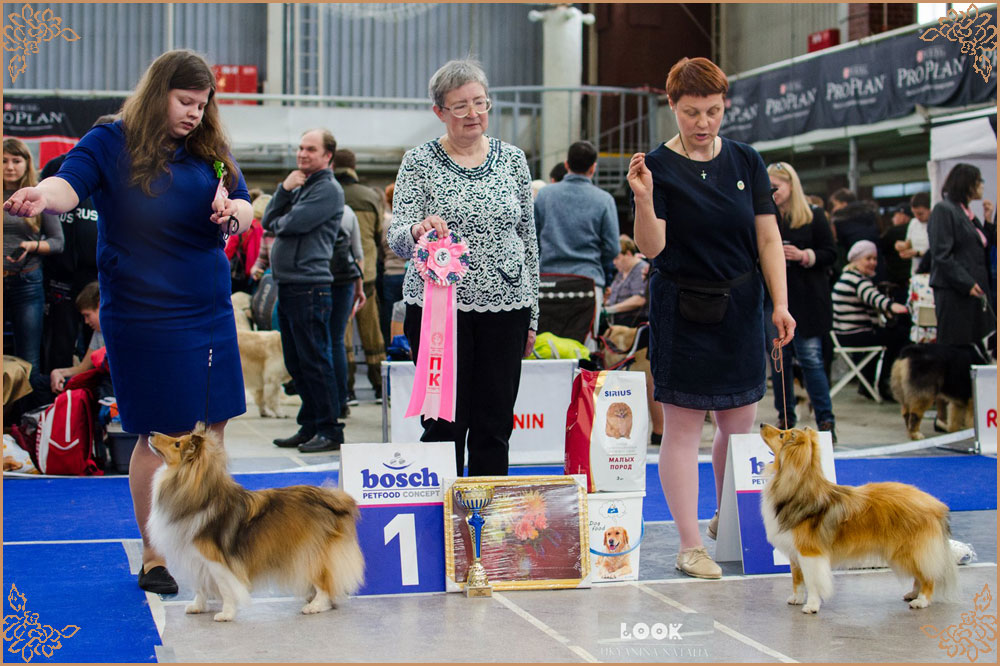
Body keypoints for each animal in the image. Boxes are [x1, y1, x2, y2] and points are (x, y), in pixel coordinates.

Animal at [146, 422, 366, 620]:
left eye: (177, 444)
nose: (150, 432)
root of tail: (332, 498)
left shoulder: (217, 562)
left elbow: (226, 589)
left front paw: (226, 614)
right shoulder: (196, 558)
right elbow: (200, 587)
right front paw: (197, 607)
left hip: (309, 553)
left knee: (324, 583)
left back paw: (315, 606)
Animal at [756, 426, 960, 612]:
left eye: (782, 434)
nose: (761, 424)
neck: (798, 488)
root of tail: (937, 505)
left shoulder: (810, 552)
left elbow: (813, 582)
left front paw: (811, 606)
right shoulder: (795, 552)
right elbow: (797, 579)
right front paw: (796, 599)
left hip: (909, 551)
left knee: (929, 575)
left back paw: (921, 600)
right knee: (921, 574)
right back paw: (913, 594)